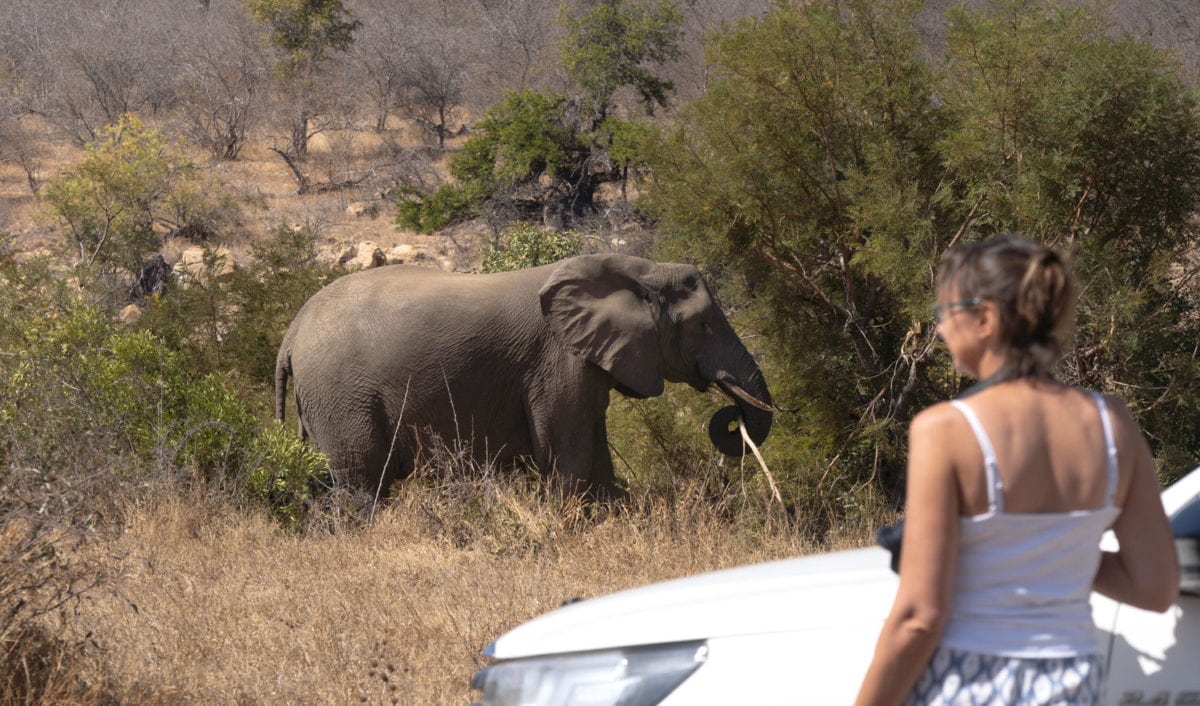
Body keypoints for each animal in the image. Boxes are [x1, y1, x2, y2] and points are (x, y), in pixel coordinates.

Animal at [274, 253, 772, 498]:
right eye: (703, 325)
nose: (733, 418)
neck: (636, 272)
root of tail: (291, 334)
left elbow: (594, 452)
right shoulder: (556, 361)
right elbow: (569, 454)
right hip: (341, 395)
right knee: (360, 482)